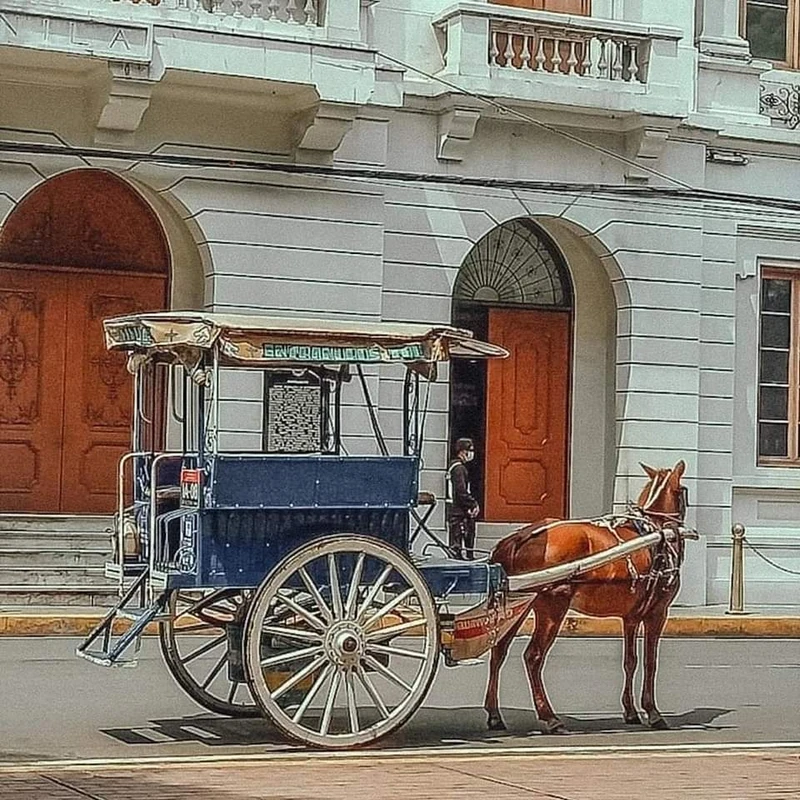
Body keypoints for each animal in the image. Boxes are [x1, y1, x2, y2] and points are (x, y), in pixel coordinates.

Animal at [484, 460, 692, 736]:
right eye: (684, 492)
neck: (655, 532)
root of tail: (519, 537)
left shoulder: (631, 617)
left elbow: (630, 661)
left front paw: (630, 711)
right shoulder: (658, 613)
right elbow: (650, 662)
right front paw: (652, 711)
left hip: (519, 604)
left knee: (499, 650)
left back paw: (495, 714)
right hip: (553, 606)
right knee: (533, 656)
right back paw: (549, 717)